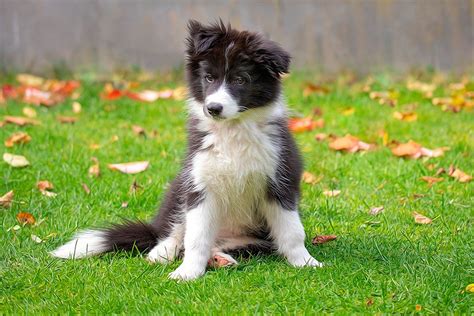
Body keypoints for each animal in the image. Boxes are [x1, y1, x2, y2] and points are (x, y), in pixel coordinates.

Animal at [52, 20, 326, 282]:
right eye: (209, 78)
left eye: (240, 80)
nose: (213, 108)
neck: (233, 131)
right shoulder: (200, 186)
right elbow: (195, 238)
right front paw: (187, 273)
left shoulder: (280, 181)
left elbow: (292, 231)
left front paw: (306, 262)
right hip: (178, 189)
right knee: (175, 233)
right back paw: (161, 252)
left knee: (220, 244)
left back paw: (220, 258)